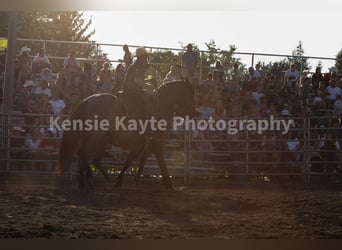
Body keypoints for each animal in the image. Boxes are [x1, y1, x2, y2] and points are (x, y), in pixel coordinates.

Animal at [57, 81, 194, 188]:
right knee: (84, 155)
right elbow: (153, 160)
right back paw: (83, 182)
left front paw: (135, 180)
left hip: (98, 140)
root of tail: (87, 100)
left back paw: (94, 179)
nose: (194, 112)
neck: (159, 108)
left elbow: (141, 161)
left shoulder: (146, 144)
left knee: (89, 157)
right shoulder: (155, 142)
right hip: (96, 138)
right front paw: (168, 183)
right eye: (189, 95)